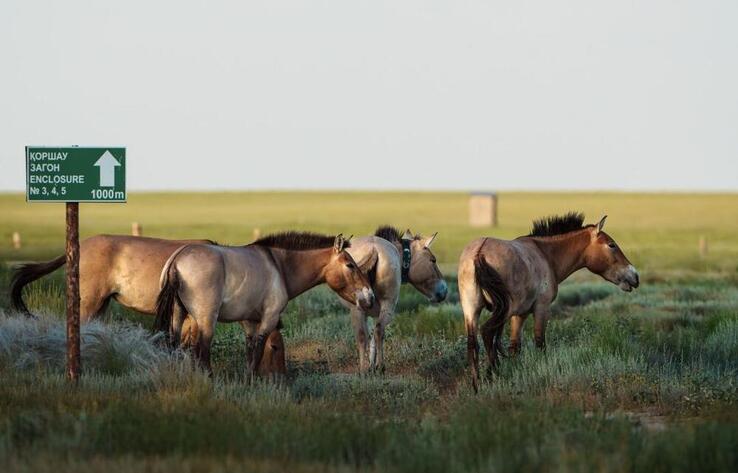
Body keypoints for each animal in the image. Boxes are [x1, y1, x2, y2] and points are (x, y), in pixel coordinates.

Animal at [154, 232, 375, 374]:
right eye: (350, 265)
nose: (370, 297)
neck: (280, 266)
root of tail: (177, 260)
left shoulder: (250, 322)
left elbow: (250, 353)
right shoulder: (269, 319)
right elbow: (259, 352)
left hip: (179, 316)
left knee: (176, 345)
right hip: (206, 320)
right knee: (202, 352)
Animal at [340, 226, 447, 373]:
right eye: (433, 260)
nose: (444, 290)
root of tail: (374, 249)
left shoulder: (370, 313)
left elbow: (369, 337)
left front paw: (370, 365)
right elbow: (375, 335)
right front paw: (374, 365)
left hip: (357, 309)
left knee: (361, 336)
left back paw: (363, 371)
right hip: (388, 306)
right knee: (379, 331)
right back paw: (381, 367)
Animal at [458, 213, 639, 391]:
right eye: (611, 245)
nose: (635, 276)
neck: (545, 255)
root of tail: (479, 252)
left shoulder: (520, 314)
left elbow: (515, 346)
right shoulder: (541, 308)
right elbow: (540, 342)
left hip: (472, 310)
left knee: (472, 343)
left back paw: (477, 385)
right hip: (503, 310)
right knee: (487, 331)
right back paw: (492, 374)